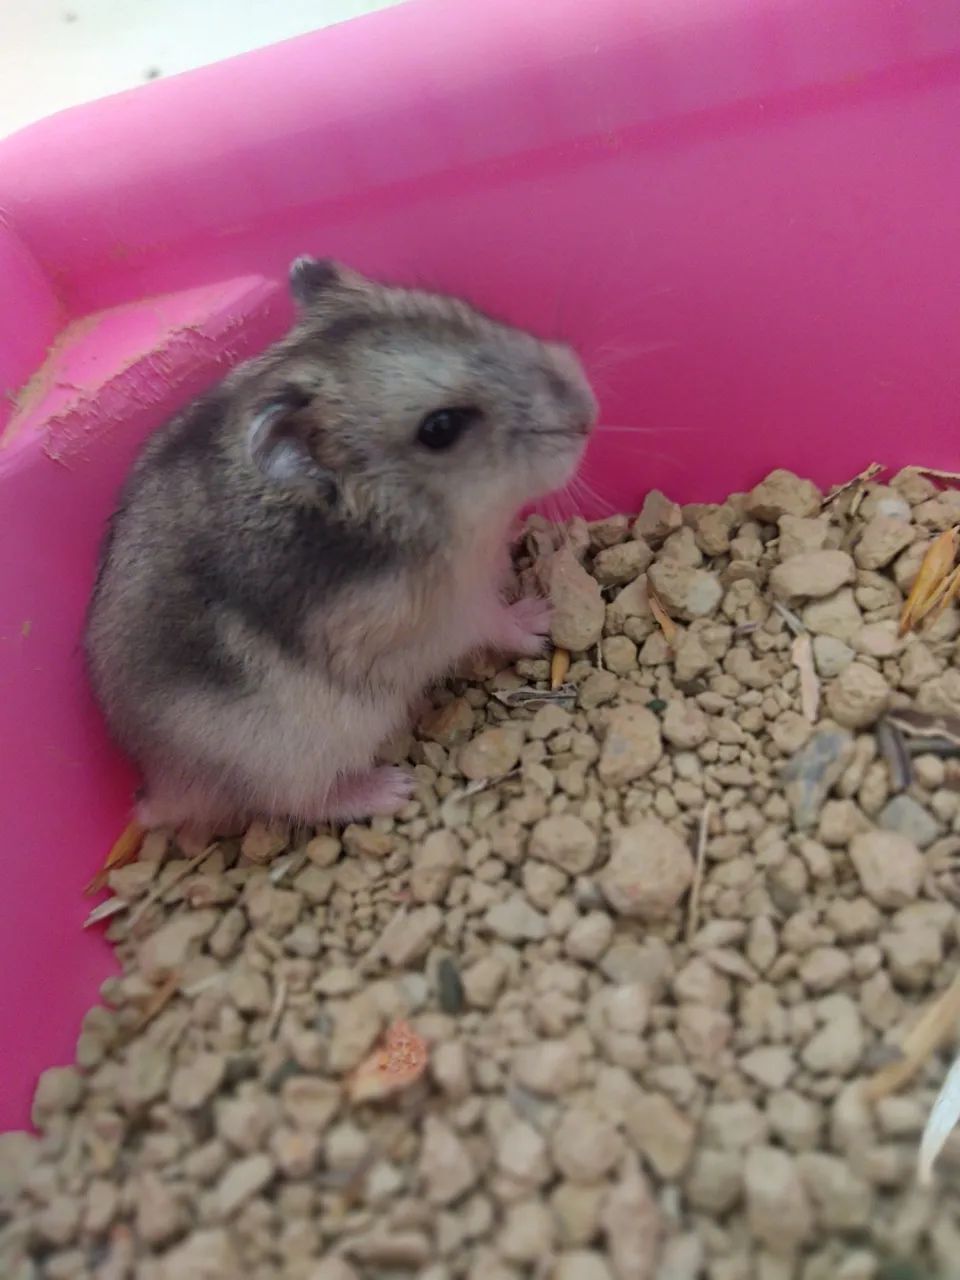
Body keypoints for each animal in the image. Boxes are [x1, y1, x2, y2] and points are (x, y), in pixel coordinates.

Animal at [85, 258, 597, 835]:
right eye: (440, 428)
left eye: (471, 312)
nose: (590, 410)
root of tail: (158, 788)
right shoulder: (449, 617)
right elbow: (498, 622)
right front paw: (544, 615)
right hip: (302, 755)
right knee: (301, 802)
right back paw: (392, 789)